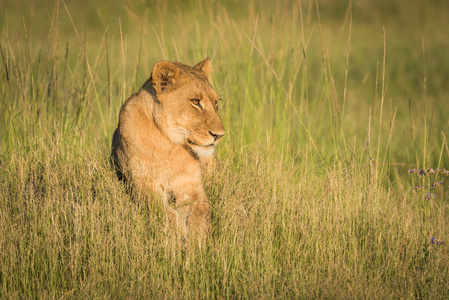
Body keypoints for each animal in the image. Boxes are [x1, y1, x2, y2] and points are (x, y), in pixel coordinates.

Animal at [111, 58, 224, 246]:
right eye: (195, 101)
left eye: (216, 102)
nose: (219, 135)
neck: (169, 145)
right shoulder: (142, 182)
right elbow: (163, 212)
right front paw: (178, 235)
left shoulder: (191, 185)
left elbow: (201, 211)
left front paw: (197, 242)